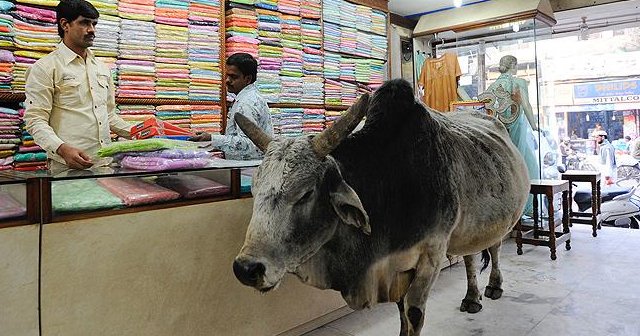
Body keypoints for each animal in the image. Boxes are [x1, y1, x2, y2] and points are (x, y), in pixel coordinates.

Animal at [232, 79, 528, 336]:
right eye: (255, 188)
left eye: (306, 193)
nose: (247, 268)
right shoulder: (394, 266)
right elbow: (400, 311)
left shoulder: (431, 255)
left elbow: (413, 314)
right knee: (469, 256)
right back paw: (471, 297)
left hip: (501, 221)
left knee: (494, 247)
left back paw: (493, 287)